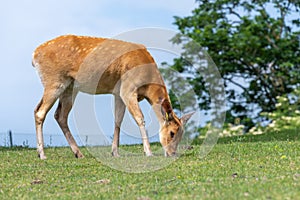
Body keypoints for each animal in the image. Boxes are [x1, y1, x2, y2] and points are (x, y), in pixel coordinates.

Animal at [31, 34, 193, 159]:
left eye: (182, 134)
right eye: (172, 133)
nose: (172, 153)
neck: (147, 87)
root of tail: (34, 55)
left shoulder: (118, 93)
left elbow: (118, 120)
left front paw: (115, 152)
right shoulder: (127, 89)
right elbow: (139, 118)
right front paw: (148, 152)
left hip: (70, 87)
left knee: (60, 115)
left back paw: (78, 153)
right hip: (54, 81)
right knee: (40, 111)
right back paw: (42, 154)